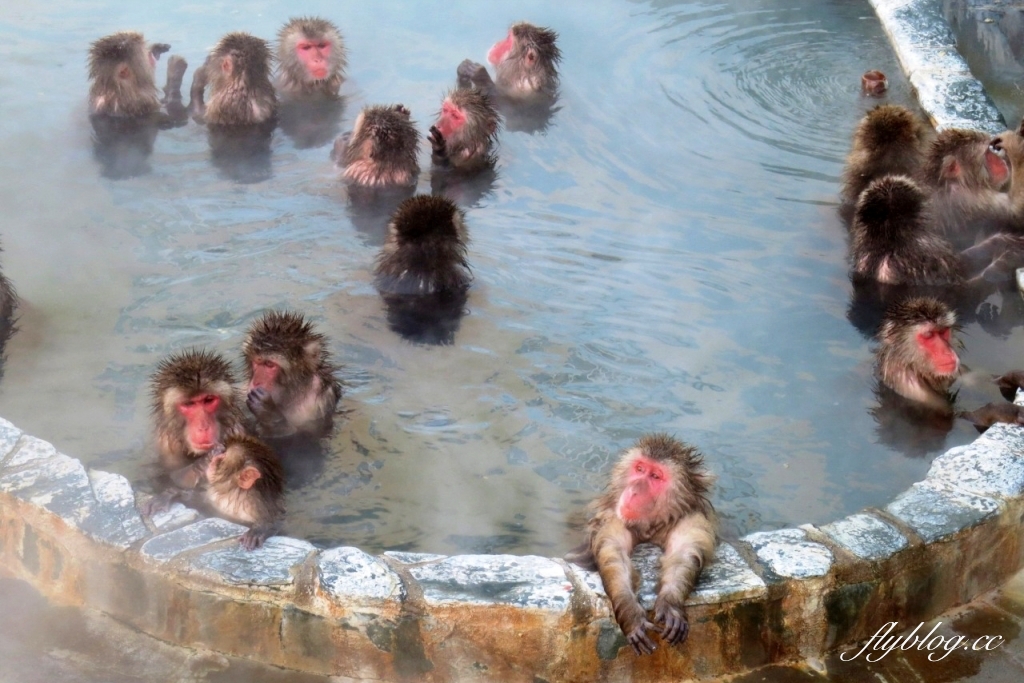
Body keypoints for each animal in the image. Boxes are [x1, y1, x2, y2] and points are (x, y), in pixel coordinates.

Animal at [565, 436, 716, 655]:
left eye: (655, 476)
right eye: (639, 469)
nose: (634, 489)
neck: (650, 526)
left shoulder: (692, 521)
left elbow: (682, 555)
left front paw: (670, 604)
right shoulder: (615, 518)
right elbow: (615, 556)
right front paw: (632, 615)